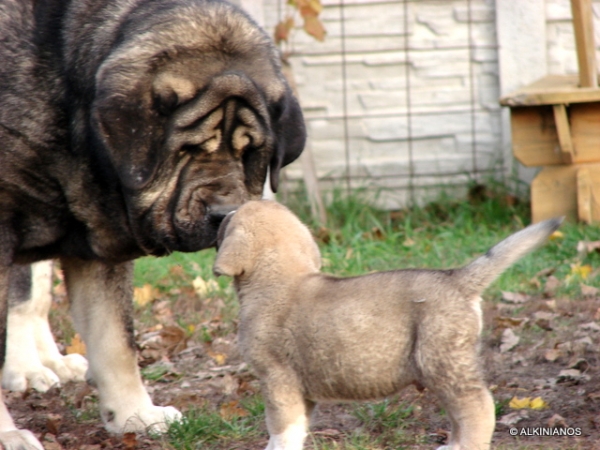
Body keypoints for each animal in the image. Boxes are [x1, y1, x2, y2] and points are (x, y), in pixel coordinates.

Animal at [0, 0, 304, 446]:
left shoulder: (97, 241)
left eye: (250, 153)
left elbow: (115, 340)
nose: (224, 214)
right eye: (186, 151)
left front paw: (134, 416)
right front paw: (9, 432)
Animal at [214, 201, 564, 450]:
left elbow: (280, 429)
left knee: (477, 408)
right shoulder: (301, 390)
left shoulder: (276, 379)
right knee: (459, 413)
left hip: (442, 361)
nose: (218, 214)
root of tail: (456, 279)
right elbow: (296, 428)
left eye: (231, 218)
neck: (277, 278)